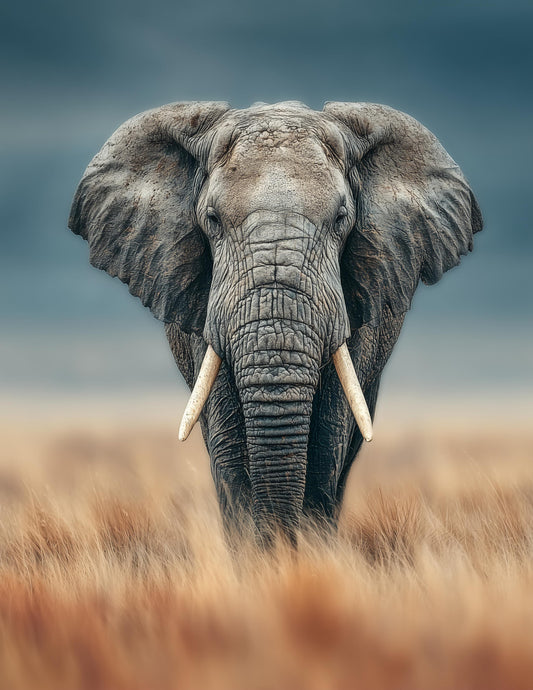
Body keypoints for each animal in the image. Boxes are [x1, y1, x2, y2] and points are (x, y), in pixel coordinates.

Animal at [69, 100, 482, 542]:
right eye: (212, 219)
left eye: (341, 218)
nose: (281, 542)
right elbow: (228, 441)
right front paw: (259, 554)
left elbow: (328, 439)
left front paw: (307, 552)